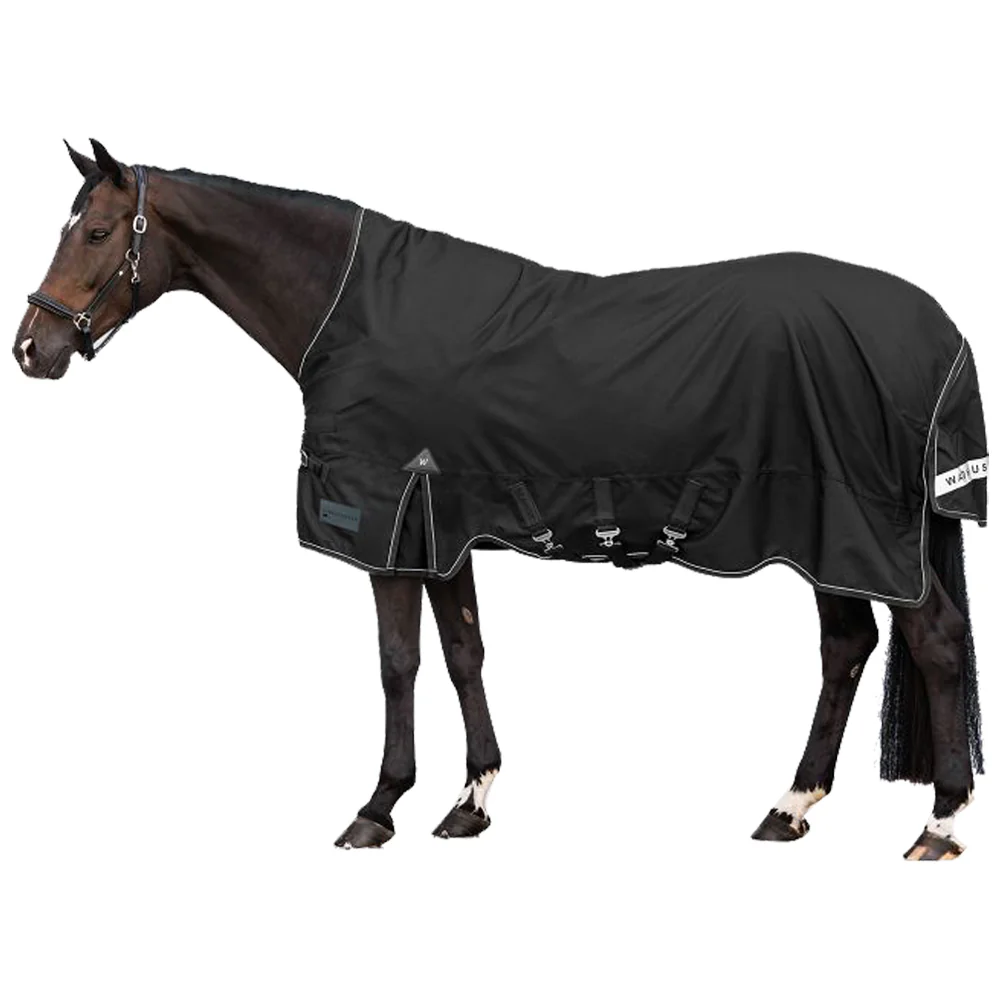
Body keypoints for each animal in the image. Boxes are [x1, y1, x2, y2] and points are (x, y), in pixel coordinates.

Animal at [14, 140, 986, 860]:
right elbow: (464, 654)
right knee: (847, 647)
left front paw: (378, 807)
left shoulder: (388, 529)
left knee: (934, 641)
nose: (31, 348)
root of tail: (941, 334)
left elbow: (398, 662)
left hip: (861, 531)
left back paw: (938, 823)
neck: (353, 314)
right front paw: (469, 801)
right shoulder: (442, 527)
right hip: (829, 538)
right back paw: (790, 807)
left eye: (95, 232)